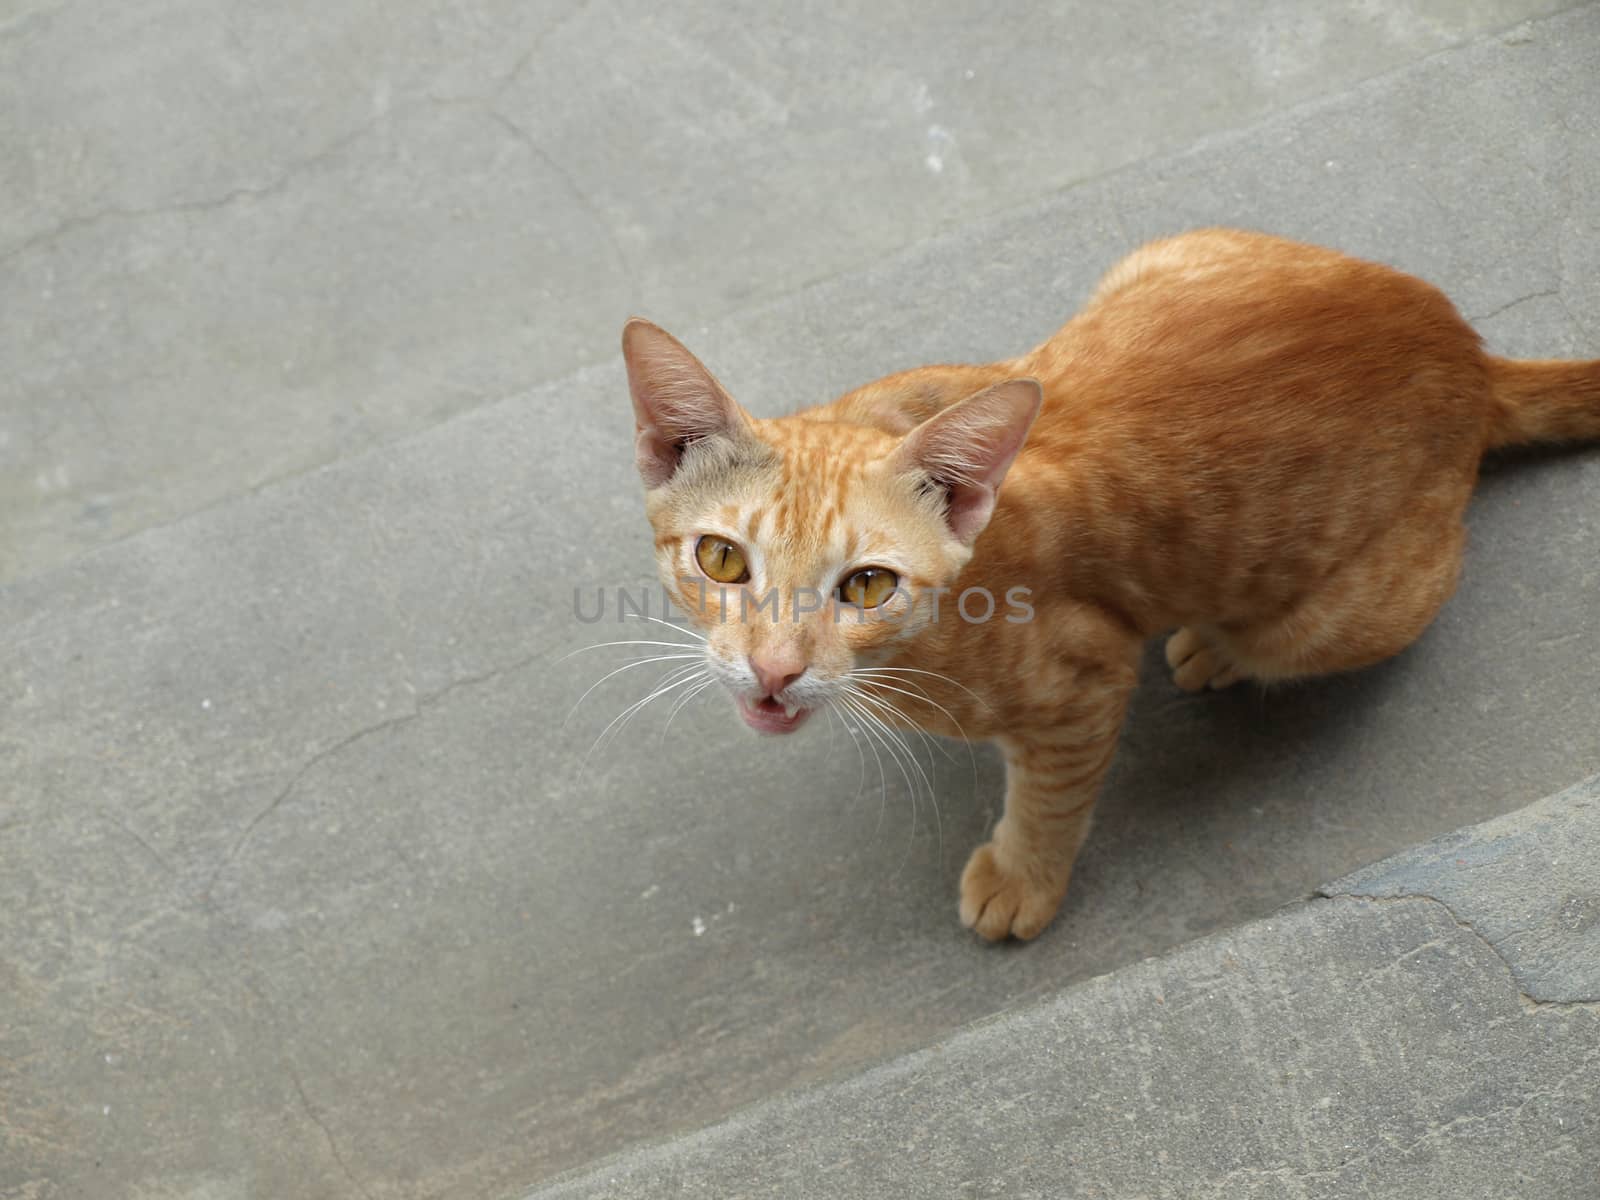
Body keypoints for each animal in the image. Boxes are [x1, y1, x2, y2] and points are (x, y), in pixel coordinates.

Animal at [617, 230, 1600, 947]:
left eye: (866, 585)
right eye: (722, 561)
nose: (774, 672)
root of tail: (1468, 354)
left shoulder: (1083, 684)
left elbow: (1050, 800)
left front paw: (1023, 878)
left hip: (1335, 617)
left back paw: (1213, 647)